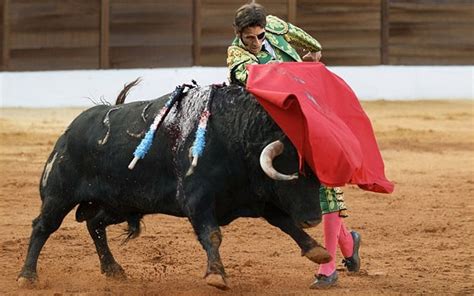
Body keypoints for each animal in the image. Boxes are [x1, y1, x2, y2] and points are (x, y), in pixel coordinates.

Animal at [17, 83, 330, 290]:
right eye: (293, 175)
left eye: (316, 177)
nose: (314, 219)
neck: (236, 137)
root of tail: (68, 132)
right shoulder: (197, 200)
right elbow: (212, 234)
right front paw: (216, 275)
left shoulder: (258, 199)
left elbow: (285, 223)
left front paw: (317, 250)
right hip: (59, 195)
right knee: (43, 226)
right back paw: (27, 276)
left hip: (121, 203)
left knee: (95, 224)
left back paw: (113, 269)